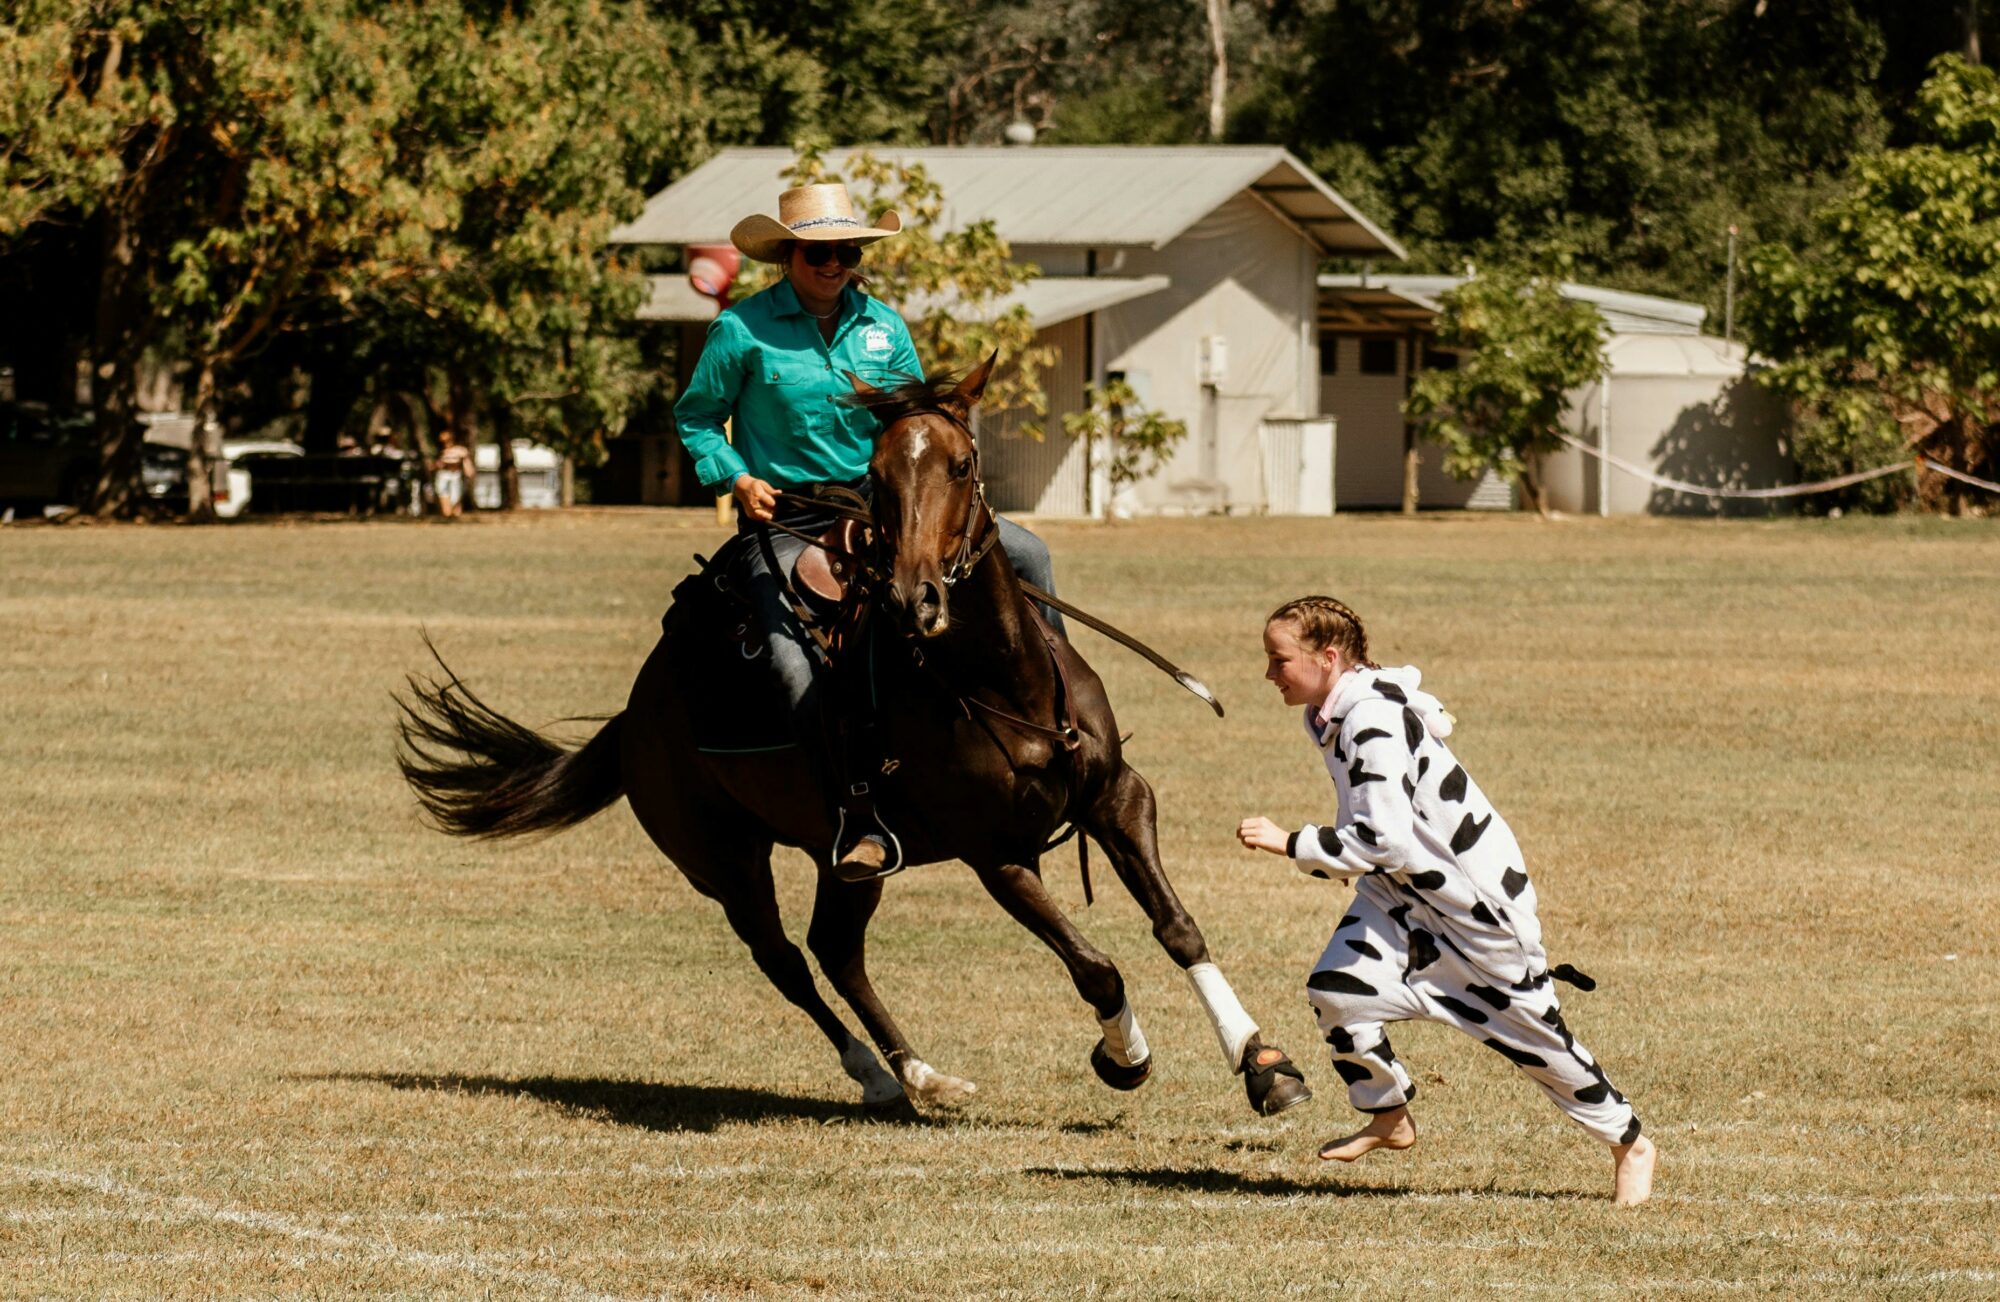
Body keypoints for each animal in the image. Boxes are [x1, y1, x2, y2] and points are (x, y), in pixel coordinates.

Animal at [396, 355, 1312, 1117]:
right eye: (877, 475)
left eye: (962, 464)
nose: (916, 599)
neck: (999, 681)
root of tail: (634, 716)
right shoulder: (996, 853)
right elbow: (1096, 966)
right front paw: (1124, 1056)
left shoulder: (1118, 799)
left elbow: (1177, 927)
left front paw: (1261, 1062)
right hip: (721, 860)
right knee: (787, 961)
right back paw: (879, 1074)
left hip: (845, 854)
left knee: (836, 949)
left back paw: (922, 1074)